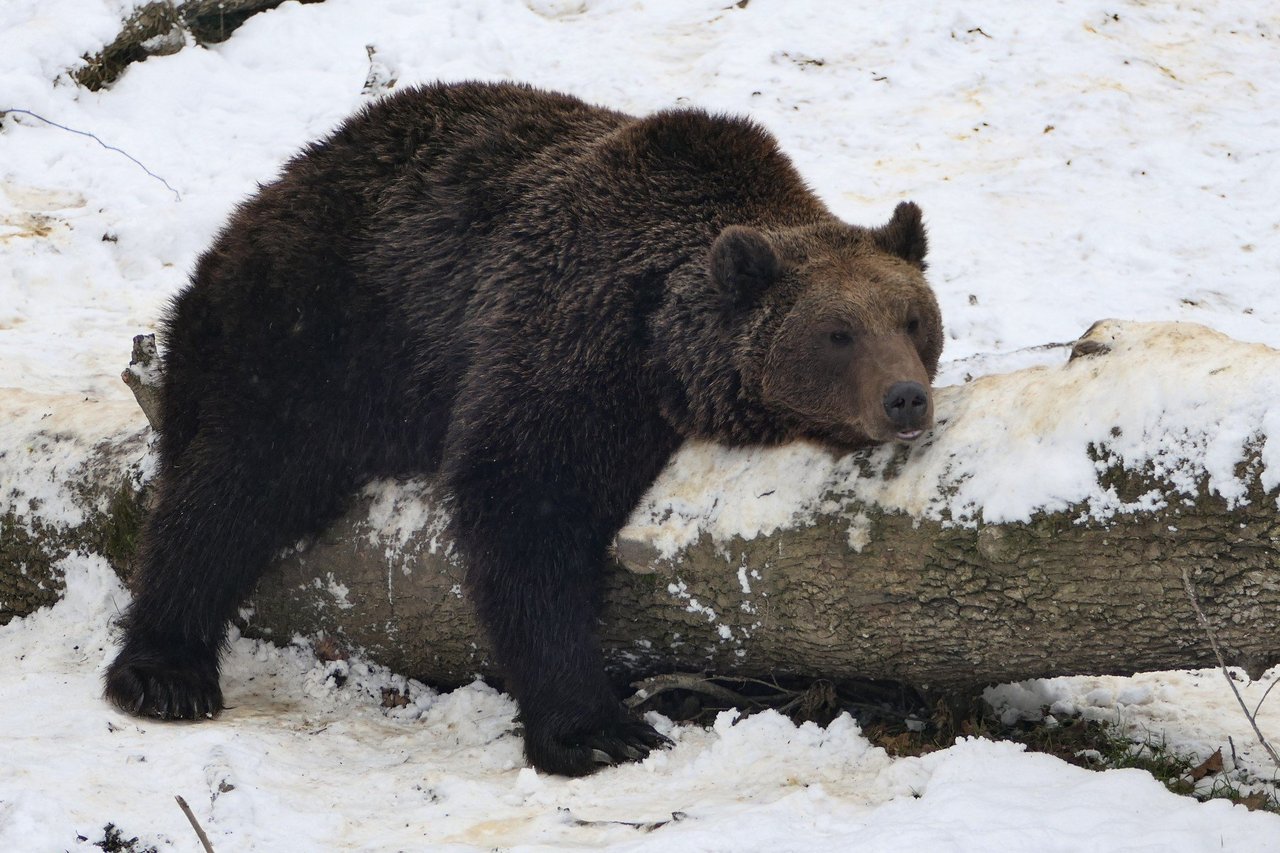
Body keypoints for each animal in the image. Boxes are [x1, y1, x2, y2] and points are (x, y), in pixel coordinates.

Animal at [104, 79, 947, 768]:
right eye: (838, 332)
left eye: (913, 318)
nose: (905, 398)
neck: (663, 350)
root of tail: (262, 199)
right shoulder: (571, 335)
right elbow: (527, 503)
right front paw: (598, 728)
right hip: (309, 334)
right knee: (232, 485)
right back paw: (164, 670)